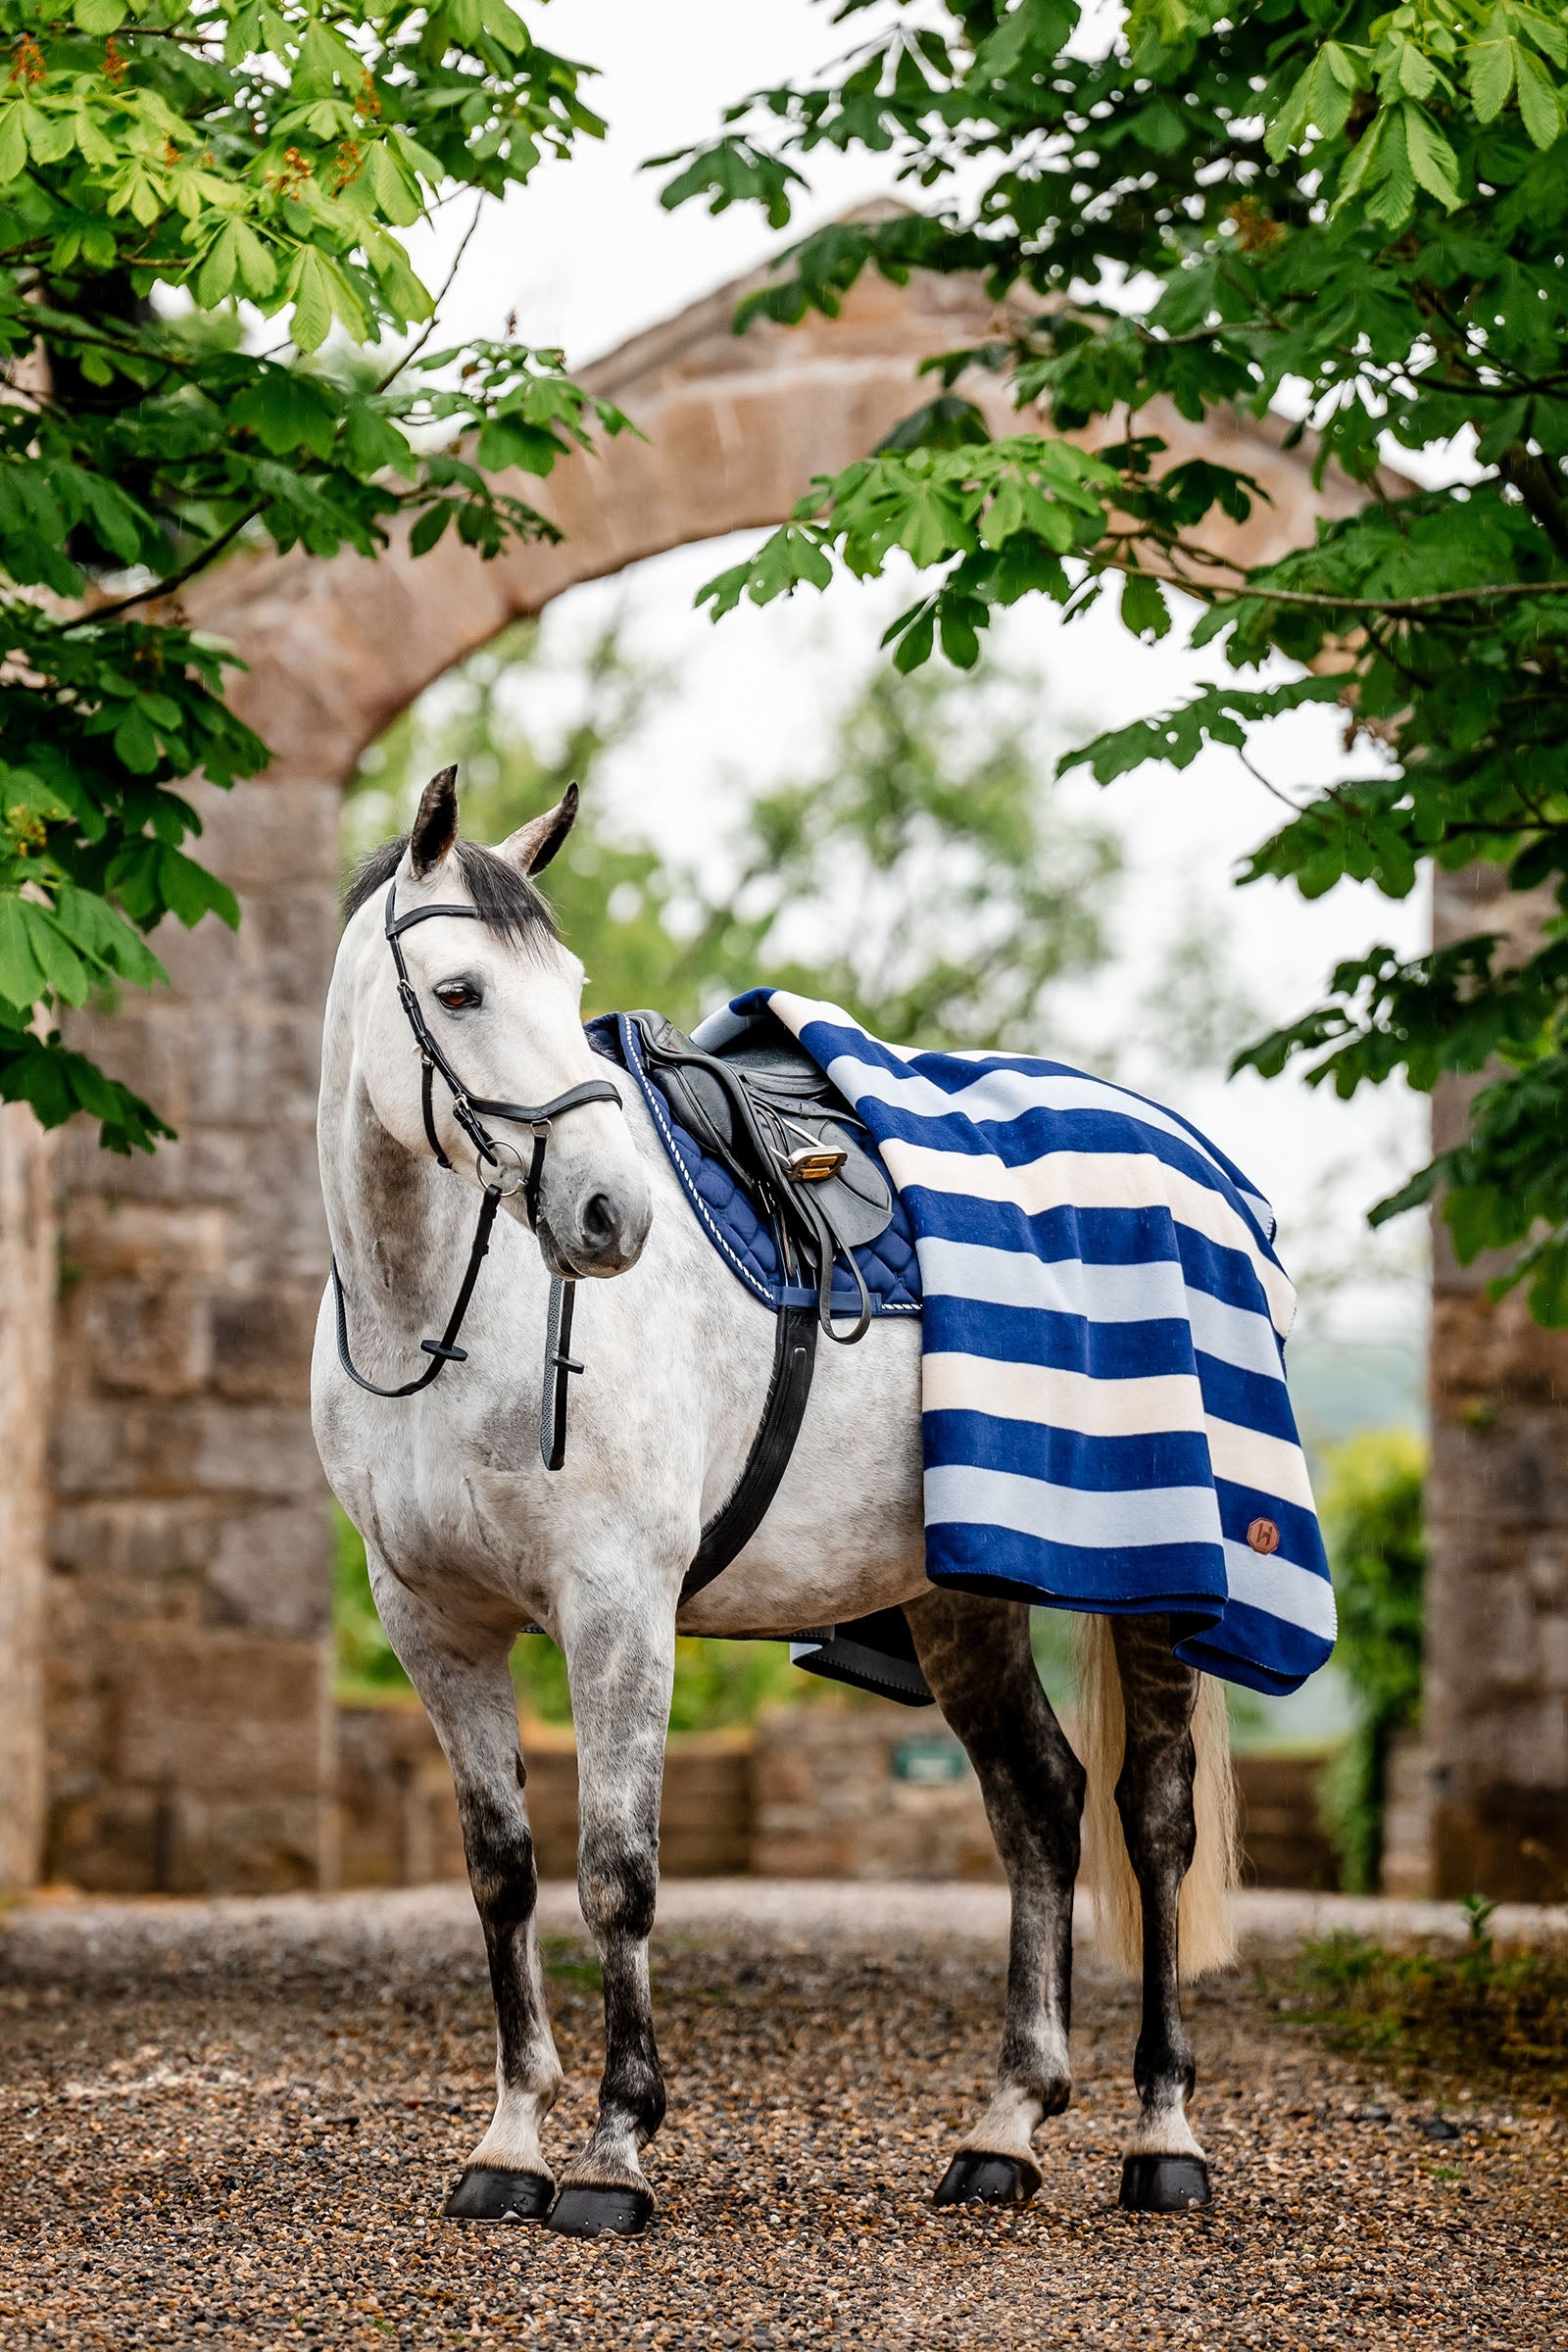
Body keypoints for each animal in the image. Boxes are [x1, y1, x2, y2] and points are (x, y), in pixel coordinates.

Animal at [311, 766, 1239, 2240]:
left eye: (566, 981)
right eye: (458, 991)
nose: (610, 1214)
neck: (444, 1322)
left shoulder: (617, 1607)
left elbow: (617, 1874)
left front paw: (614, 2152)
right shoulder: (433, 1626)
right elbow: (503, 1872)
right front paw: (510, 2144)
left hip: (1154, 1584)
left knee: (1152, 1823)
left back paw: (1164, 2136)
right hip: (962, 1597)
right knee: (1039, 1804)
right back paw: (1005, 2129)